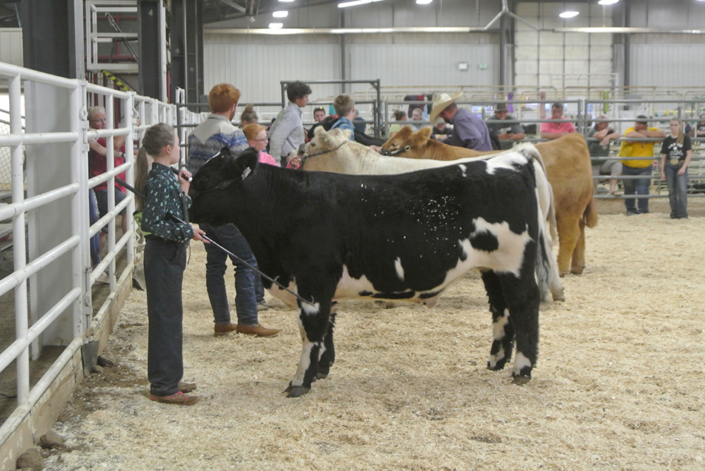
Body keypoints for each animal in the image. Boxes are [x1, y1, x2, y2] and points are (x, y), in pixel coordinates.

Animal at [189, 147, 556, 397]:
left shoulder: (312, 281)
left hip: (514, 264)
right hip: (491, 268)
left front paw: (299, 381)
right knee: (500, 308)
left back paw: (522, 369)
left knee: (524, 305)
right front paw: (321, 369)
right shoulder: (324, 286)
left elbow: (310, 330)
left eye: (204, 181)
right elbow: (326, 328)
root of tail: (512, 157)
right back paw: (496, 361)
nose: (188, 207)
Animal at [381, 127, 598, 276]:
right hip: (575, 208)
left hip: (568, 208)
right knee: (580, 233)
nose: (381, 150)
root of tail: (573, 138)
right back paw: (577, 267)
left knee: (570, 234)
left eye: (396, 145)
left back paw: (561, 268)